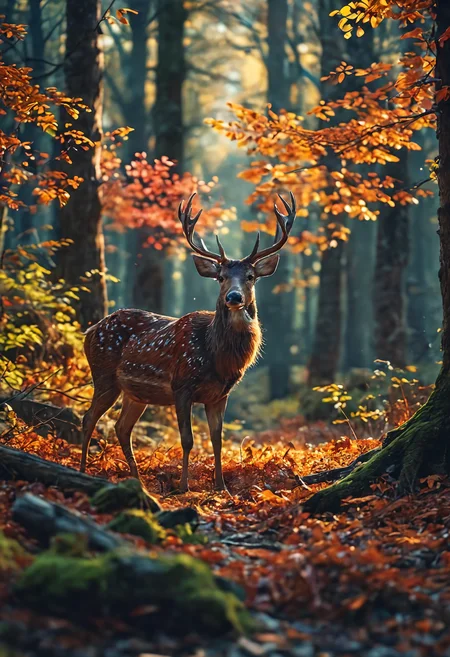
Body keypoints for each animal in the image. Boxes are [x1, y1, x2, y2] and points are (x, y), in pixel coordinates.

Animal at [80, 192, 296, 492]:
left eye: (251, 277)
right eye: (220, 277)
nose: (234, 297)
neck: (217, 358)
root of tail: (90, 331)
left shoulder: (220, 394)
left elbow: (217, 440)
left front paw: (221, 486)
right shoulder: (181, 385)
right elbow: (188, 439)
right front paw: (184, 486)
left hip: (135, 393)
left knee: (122, 428)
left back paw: (138, 482)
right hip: (104, 375)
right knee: (89, 418)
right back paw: (82, 470)